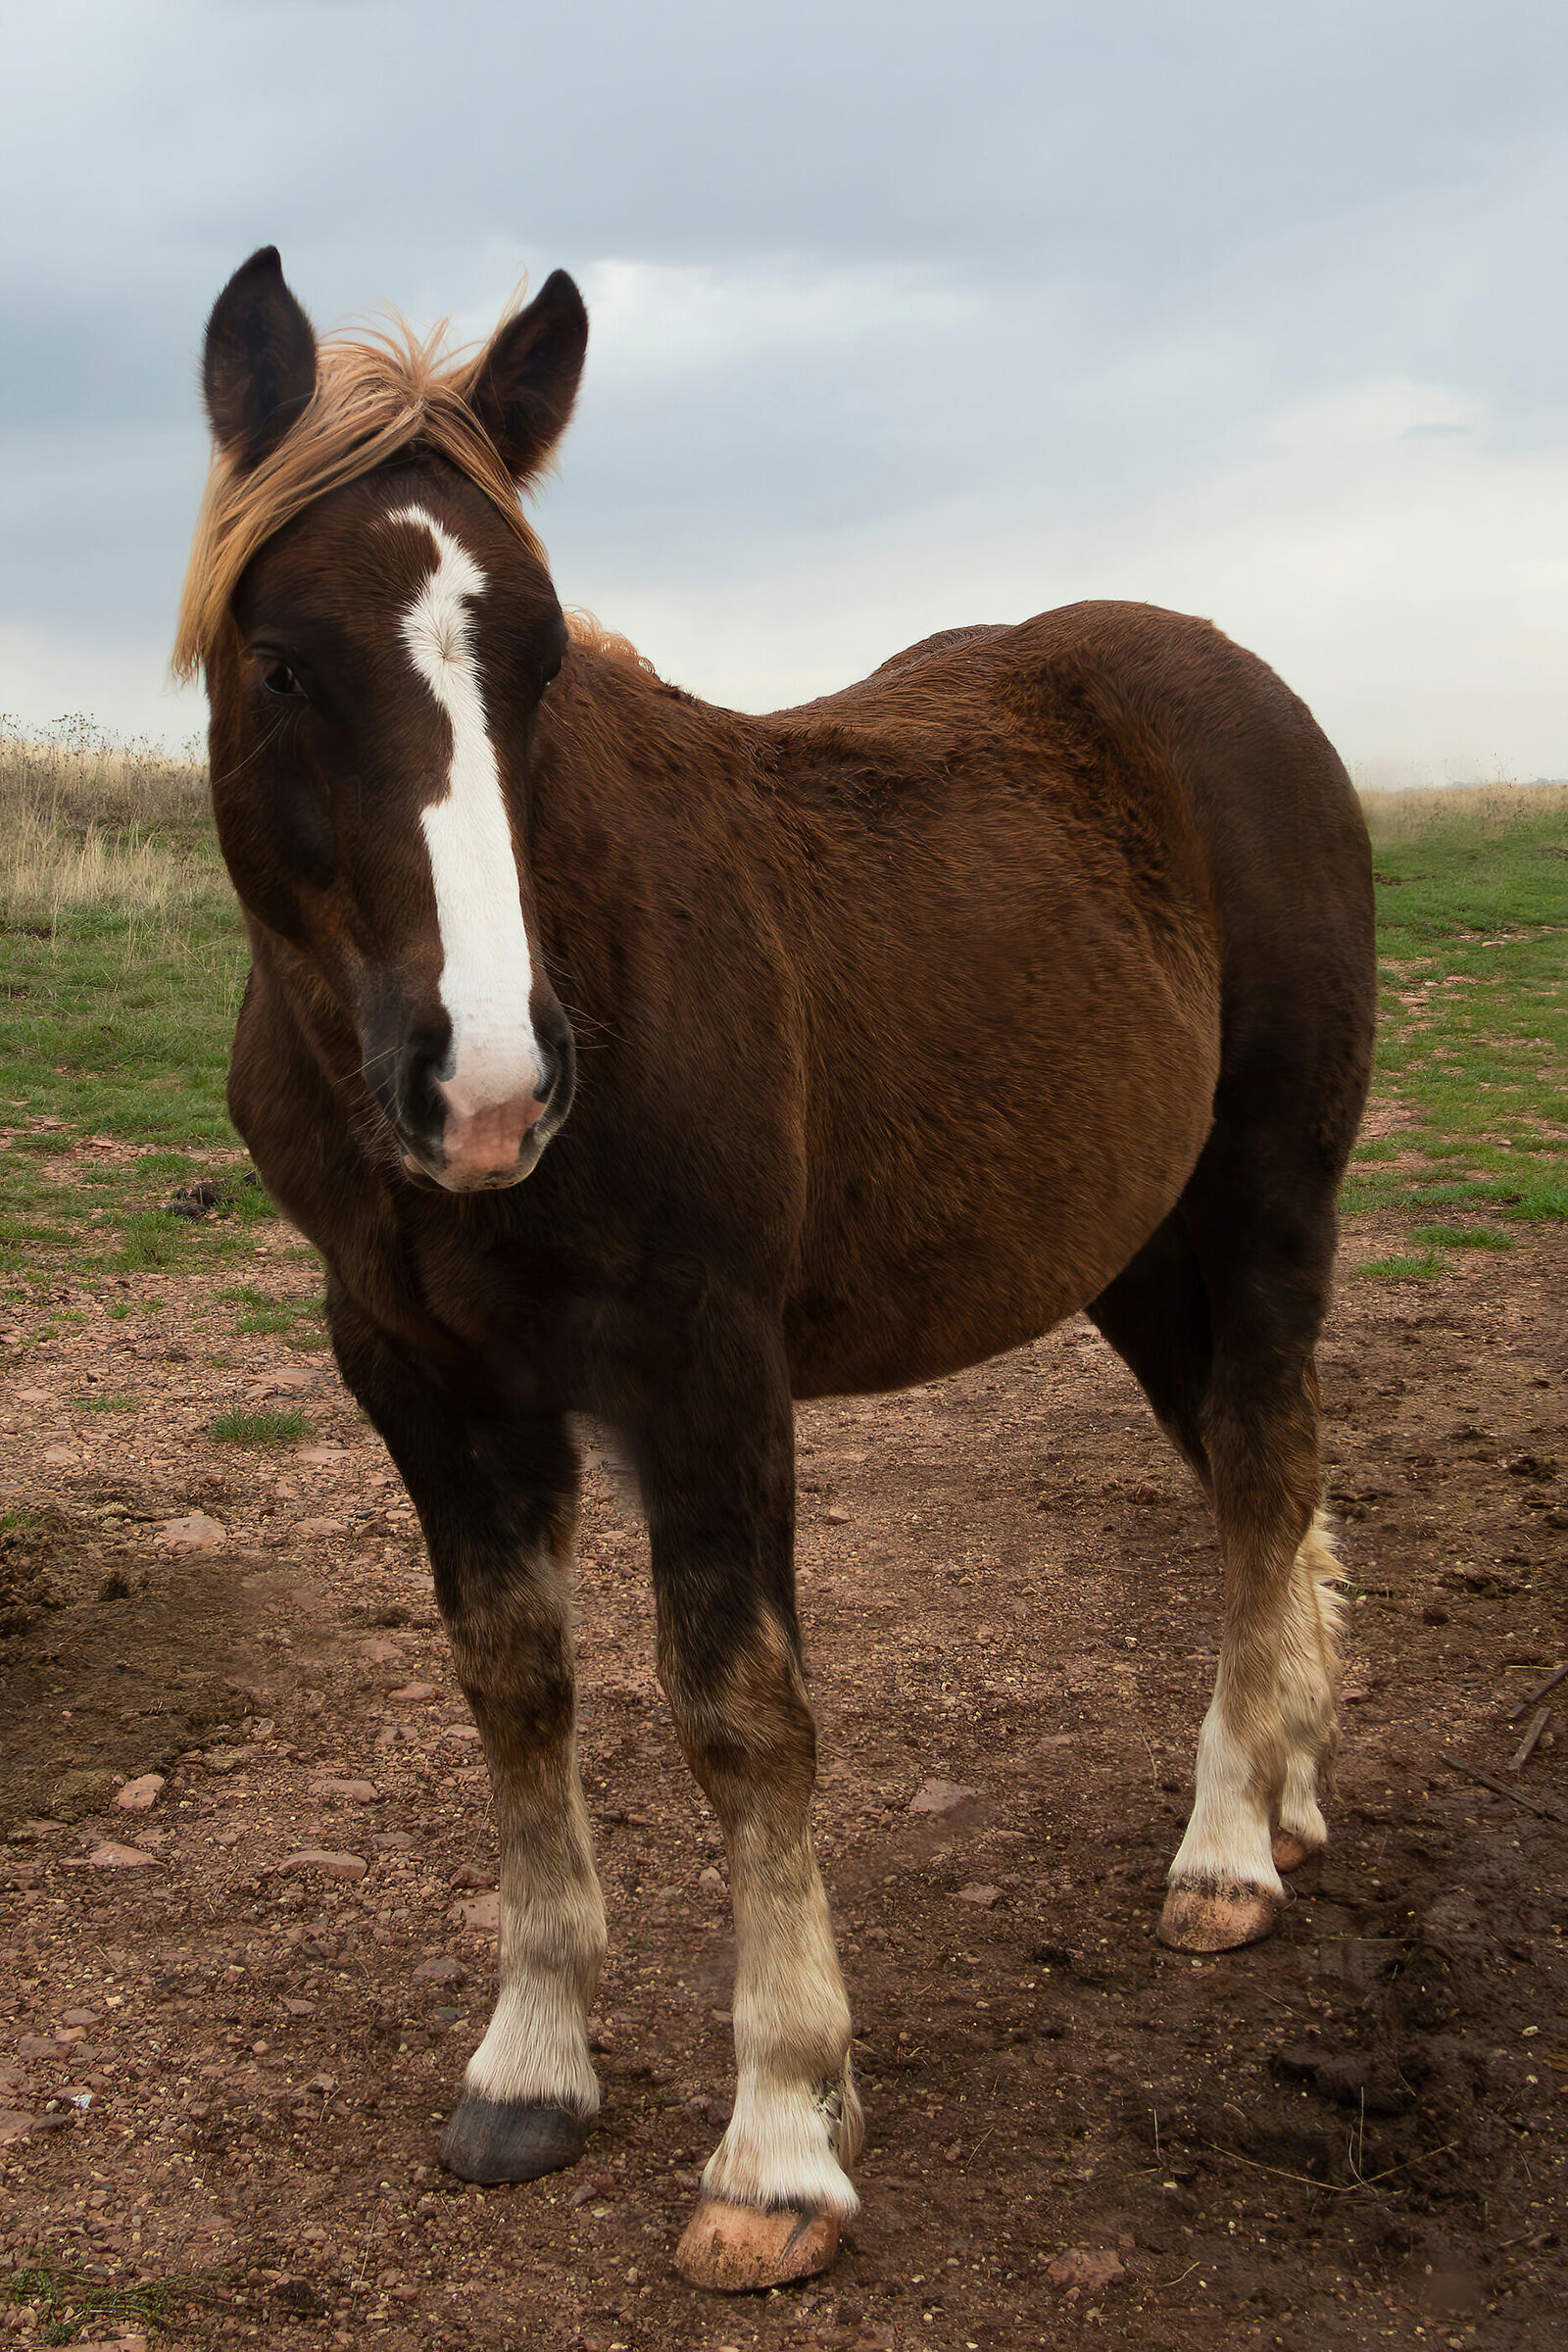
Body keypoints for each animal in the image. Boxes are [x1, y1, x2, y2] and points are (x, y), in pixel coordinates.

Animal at [176, 247, 1376, 2293]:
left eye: (540, 660)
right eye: (282, 661)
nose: (490, 1082)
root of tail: (1250, 691)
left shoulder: (706, 1369)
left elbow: (742, 1717)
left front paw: (785, 2141)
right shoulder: (422, 1381)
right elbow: (515, 1686)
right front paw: (534, 2064)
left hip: (1270, 1204)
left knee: (1264, 1474)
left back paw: (1222, 1850)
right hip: (1141, 1254)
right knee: (1251, 1479)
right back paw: (1281, 1794)